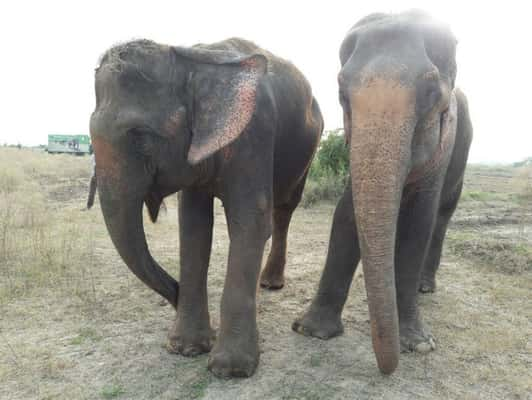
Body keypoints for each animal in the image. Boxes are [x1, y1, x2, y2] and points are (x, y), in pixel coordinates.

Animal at [90, 36, 322, 376]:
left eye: (141, 137)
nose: (174, 293)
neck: (192, 60)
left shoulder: (255, 132)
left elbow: (249, 221)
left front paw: (230, 370)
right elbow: (194, 226)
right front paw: (186, 349)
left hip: (307, 151)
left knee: (284, 210)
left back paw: (270, 283)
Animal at [294, 10, 472, 376]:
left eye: (430, 90)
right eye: (341, 92)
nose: (387, 369)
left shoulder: (443, 145)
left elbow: (420, 221)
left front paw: (419, 345)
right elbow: (346, 214)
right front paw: (312, 331)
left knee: (442, 217)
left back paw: (425, 288)